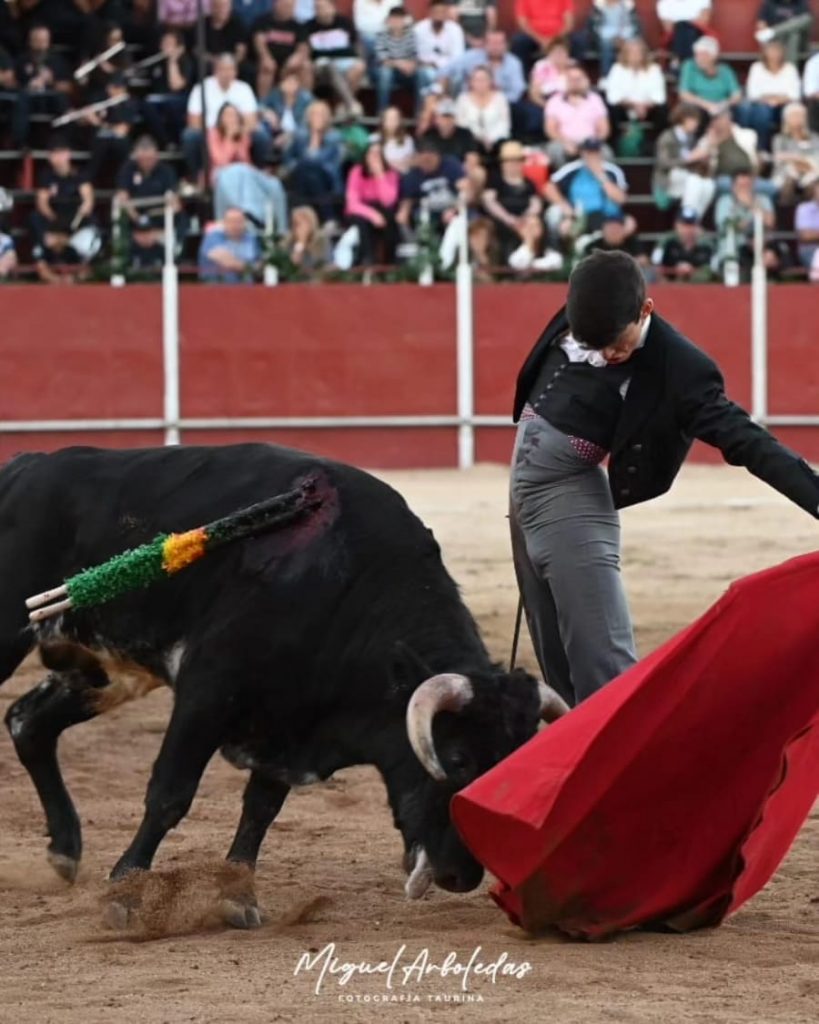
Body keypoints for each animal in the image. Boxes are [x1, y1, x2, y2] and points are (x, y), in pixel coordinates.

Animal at [0, 444, 565, 925]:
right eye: (459, 760)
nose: (461, 877)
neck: (345, 588)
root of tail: (24, 466)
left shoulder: (290, 719)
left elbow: (261, 809)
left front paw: (238, 897)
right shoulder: (209, 690)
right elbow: (169, 794)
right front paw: (125, 895)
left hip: (100, 670)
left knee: (28, 723)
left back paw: (64, 852)